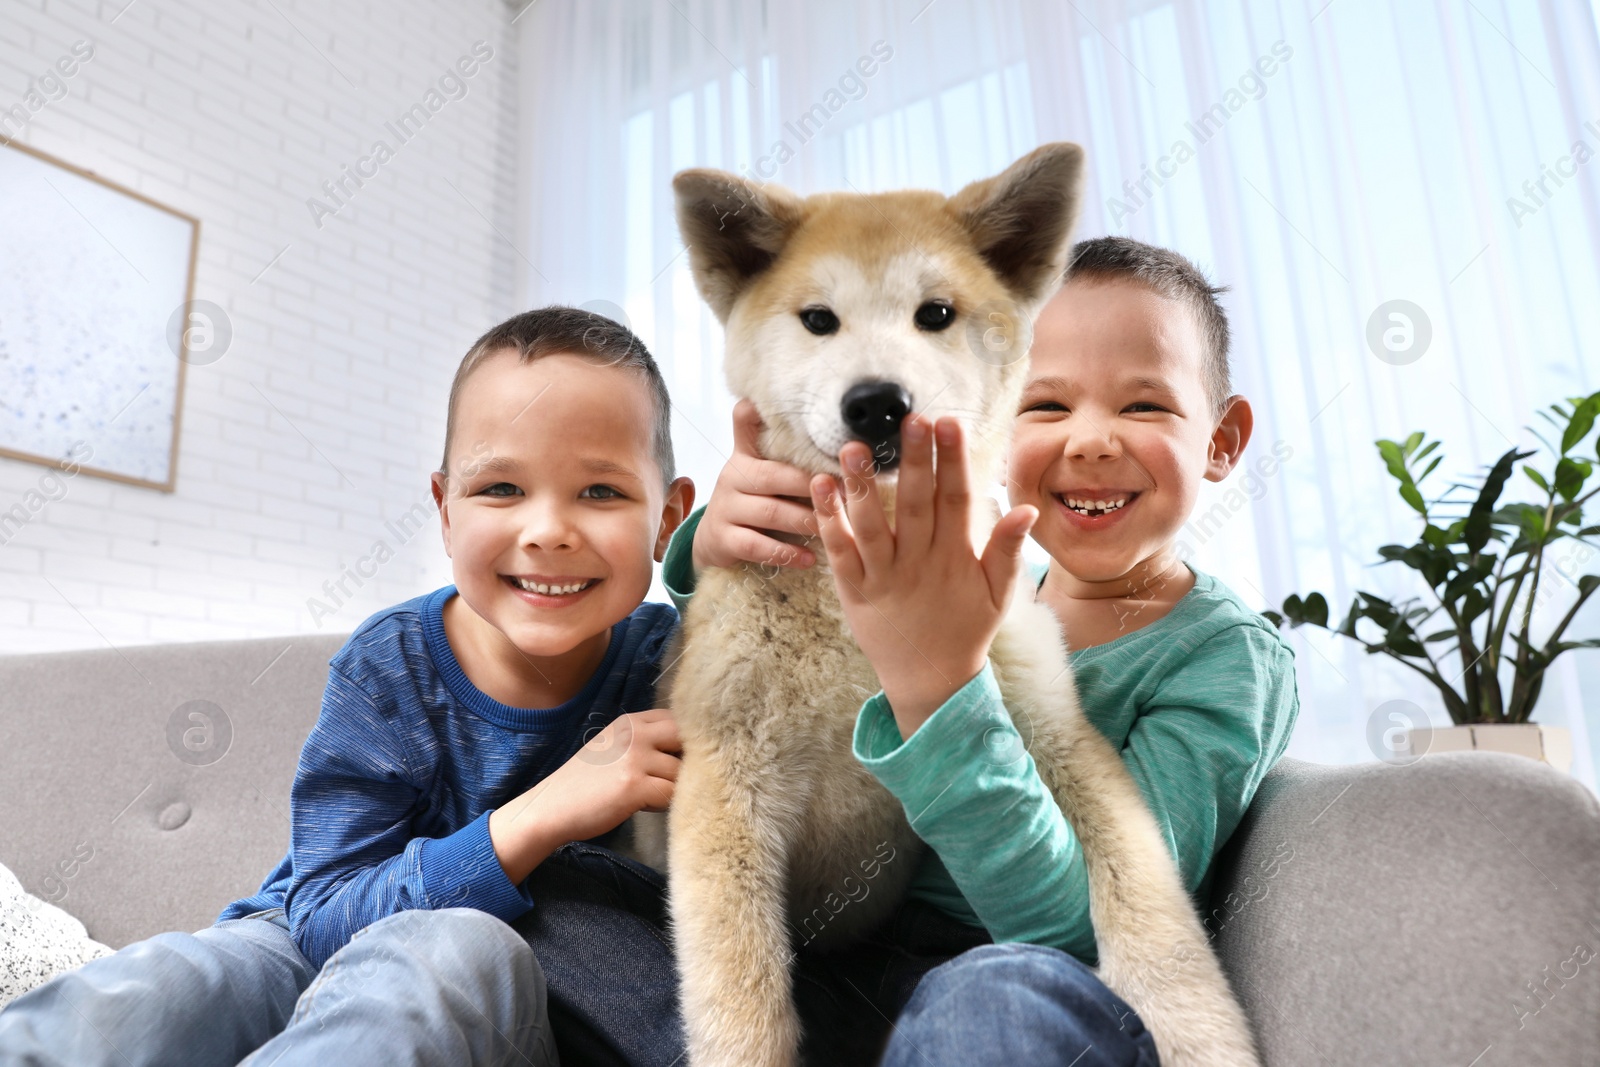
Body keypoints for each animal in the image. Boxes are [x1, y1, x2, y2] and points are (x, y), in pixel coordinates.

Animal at [630, 141, 1254, 1067]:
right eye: (818, 320)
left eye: (936, 313)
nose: (877, 402)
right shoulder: (727, 777)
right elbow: (741, 1003)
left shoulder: (1055, 733)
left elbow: (1151, 909)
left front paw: (1201, 1034)